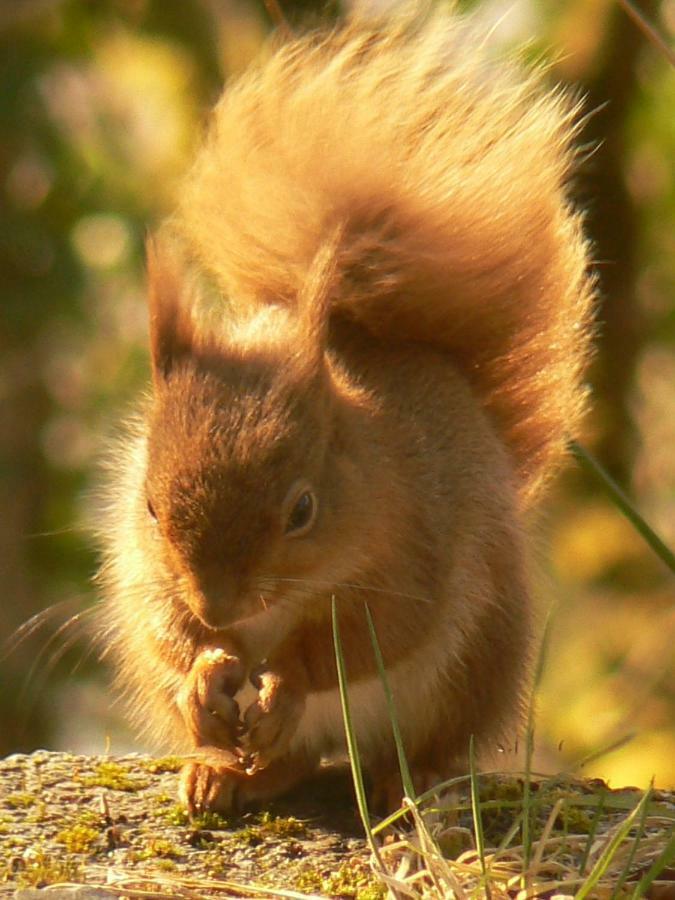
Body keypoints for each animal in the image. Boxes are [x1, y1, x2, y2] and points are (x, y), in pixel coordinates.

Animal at [96, 8, 596, 816]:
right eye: (146, 506)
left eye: (302, 509)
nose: (218, 606)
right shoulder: (147, 573)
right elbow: (166, 631)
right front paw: (206, 667)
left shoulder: (414, 551)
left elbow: (366, 640)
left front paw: (287, 679)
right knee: (295, 761)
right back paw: (224, 772)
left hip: (470, 663)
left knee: (407, 746)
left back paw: (404, 782)